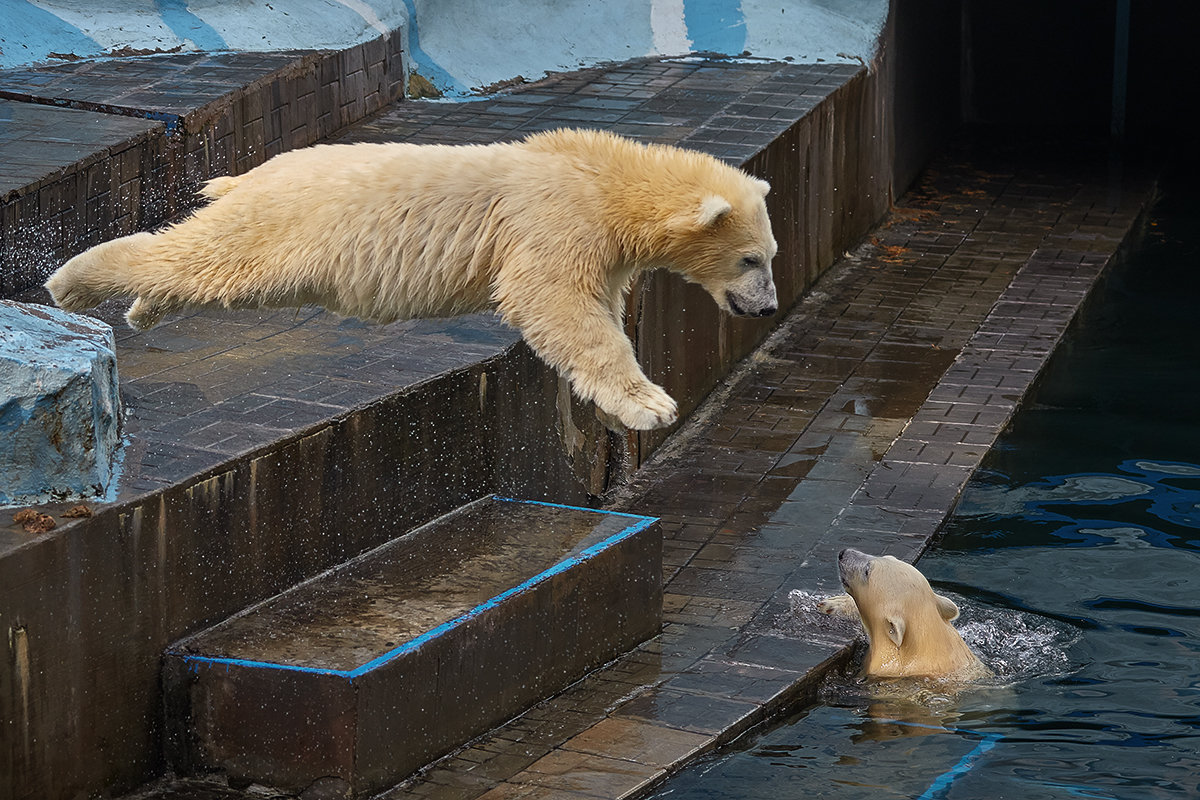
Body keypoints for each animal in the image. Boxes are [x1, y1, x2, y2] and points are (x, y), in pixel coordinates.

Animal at [44, 130, 777, 431]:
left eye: (769, 254)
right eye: (752, 260)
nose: (767, 307)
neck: (607, 178)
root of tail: (251, 174)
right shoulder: (554, 221)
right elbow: (559, 307)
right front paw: (650, 404)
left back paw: (140, 309)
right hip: (290, 226)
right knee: (210, 257)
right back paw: (71, 282)